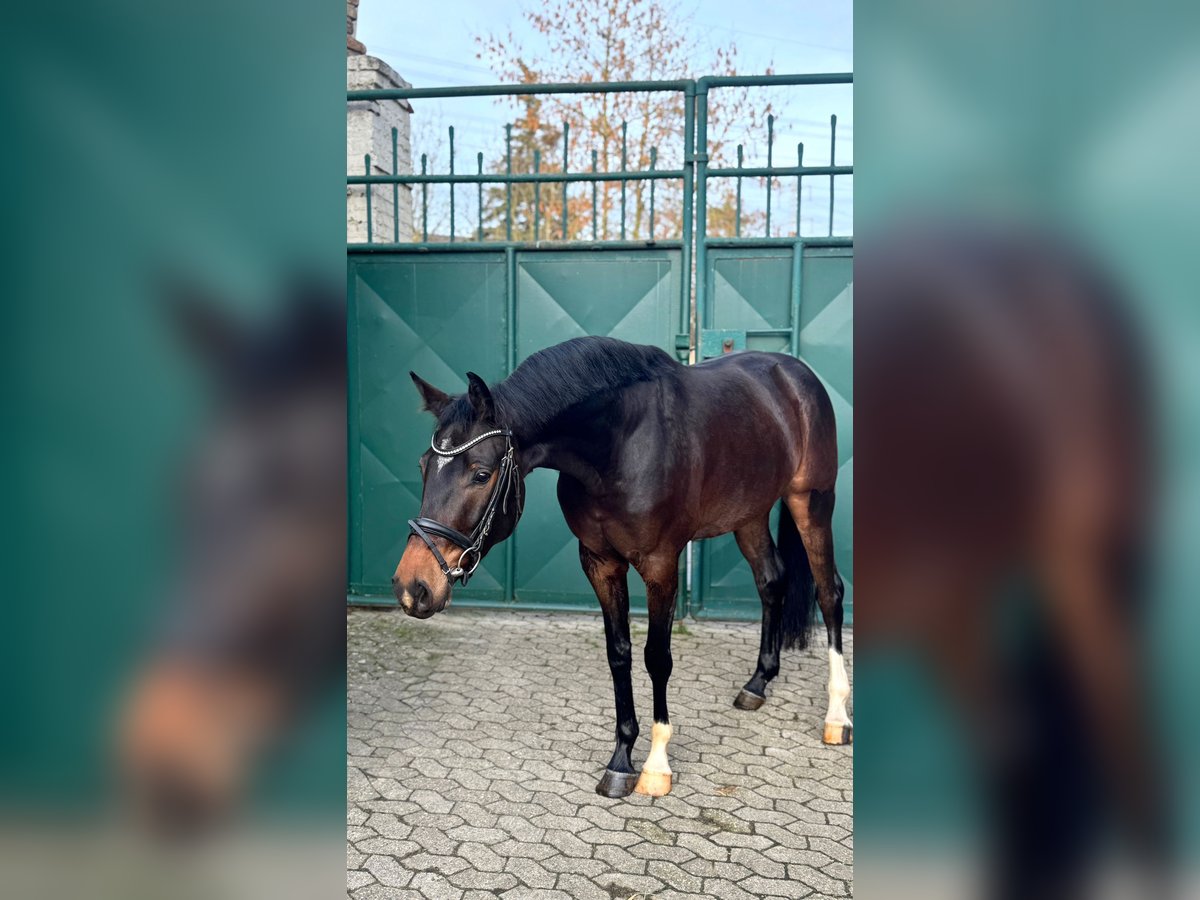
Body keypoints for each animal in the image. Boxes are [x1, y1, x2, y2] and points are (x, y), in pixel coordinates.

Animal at [393, 336, 848, 799]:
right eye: (423, 467)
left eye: (481, 474)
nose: (413, 586)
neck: (618, 448)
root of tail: (793, 372)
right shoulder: (600, 562)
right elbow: (619, 653)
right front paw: (621, 760)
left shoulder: (661, 565)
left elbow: (657, 657)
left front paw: (656, 764)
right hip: (749, 515)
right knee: (771, 581)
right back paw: (757, 683)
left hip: (812, 503)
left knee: (829, 591)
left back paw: (836, 716)